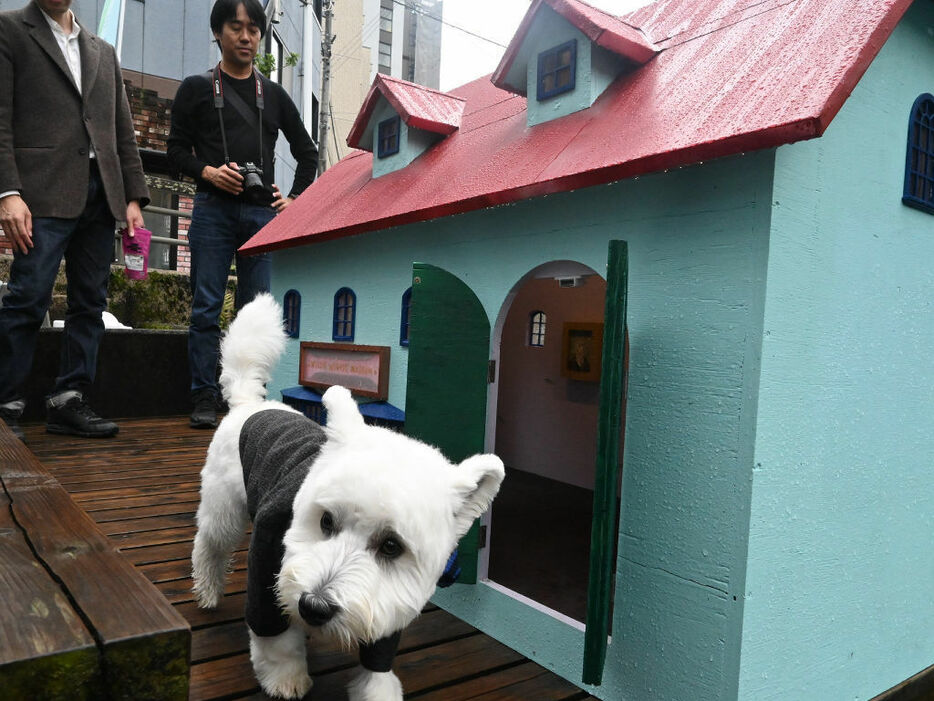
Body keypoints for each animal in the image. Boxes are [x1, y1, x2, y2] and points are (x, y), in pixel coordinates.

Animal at [191, 294, 508, 700]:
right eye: (325, 520)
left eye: (391, 546)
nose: (313, 607)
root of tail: (250, 404)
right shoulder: (266, 553)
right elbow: (273, 634)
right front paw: (285, 676)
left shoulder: (391, 603)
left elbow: (377, 664)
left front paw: (377, 690)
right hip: (224, 505)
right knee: (210, 544)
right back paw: (208, 591)